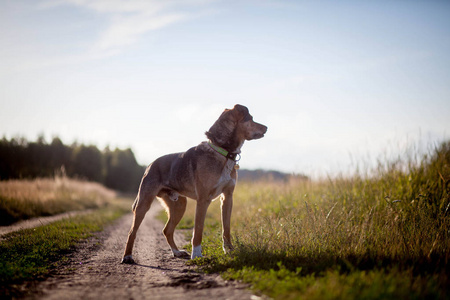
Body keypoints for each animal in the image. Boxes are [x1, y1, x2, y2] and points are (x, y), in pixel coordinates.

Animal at [121, 104, 268, 264]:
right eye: (251, 118)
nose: (266, 127)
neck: (223, 152)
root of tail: (149, 165)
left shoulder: (227, 197)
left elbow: (226, 228)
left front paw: (229, 250)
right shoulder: (203, 200)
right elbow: (198, 230)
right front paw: (197, 254)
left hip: (179, 205)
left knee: (167, 230)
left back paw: (177, 252)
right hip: (144, 203)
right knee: (132, 232)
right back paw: (127, 256)